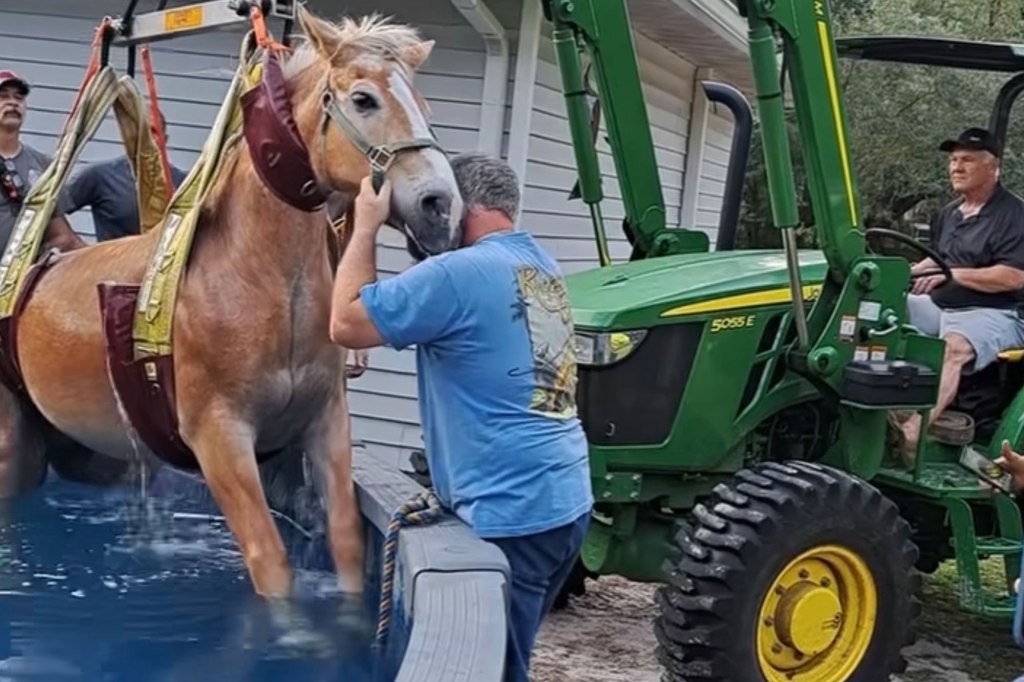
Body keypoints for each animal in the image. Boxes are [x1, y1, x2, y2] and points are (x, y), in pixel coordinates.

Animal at [0, 5, 460, 643]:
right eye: (364, 99)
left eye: (424, 104)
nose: (440, 205)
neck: (254, 279)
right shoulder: (220, 439)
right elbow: (271, 561)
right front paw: (293, 638)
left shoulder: (325, 421)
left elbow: (344, 540)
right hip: (12, 443)